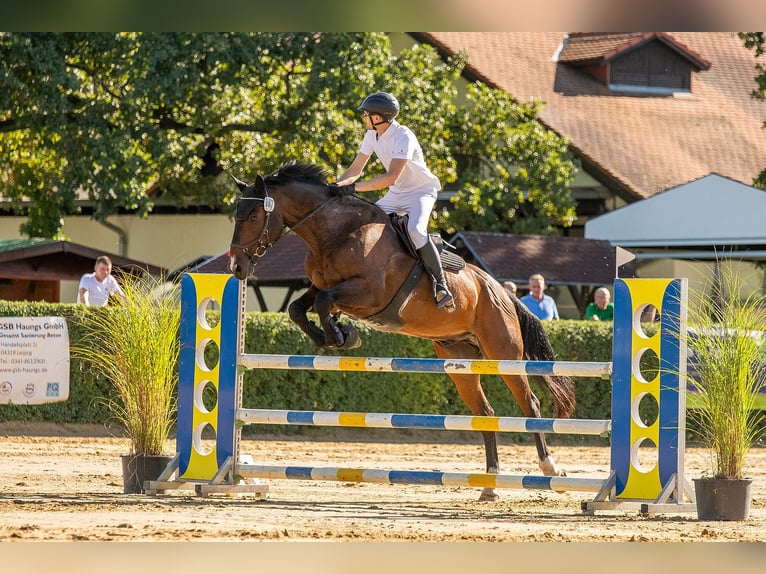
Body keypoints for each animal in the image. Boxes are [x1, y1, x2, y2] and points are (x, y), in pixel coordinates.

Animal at [228, 162, 575, 501]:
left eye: (254, 216)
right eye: (235, 216)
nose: (236, 268)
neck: (334, 233)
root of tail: (499, 289)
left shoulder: (368, 293)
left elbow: (326, 302)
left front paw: (342, 336)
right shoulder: (320, 287)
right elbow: (298, 309)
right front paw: (334, 336)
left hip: (503, 352)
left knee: (529, 403)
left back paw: (550, 468)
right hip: (460, 360)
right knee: (484, 412)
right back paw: (489, 484)